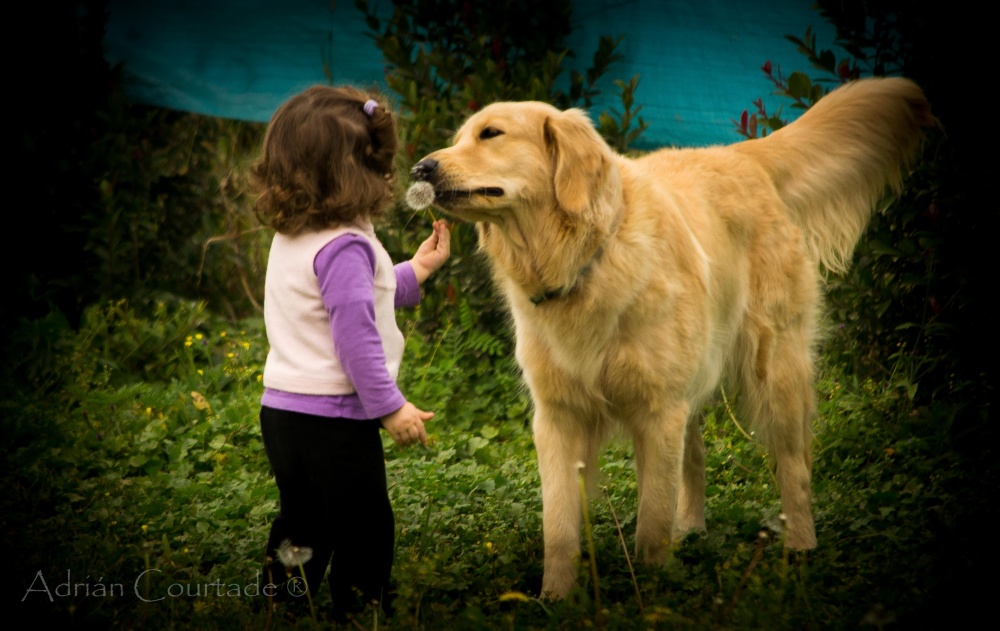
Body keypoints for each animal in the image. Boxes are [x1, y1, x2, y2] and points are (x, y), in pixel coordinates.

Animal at [408, 76, 936, 600]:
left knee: (794, 465)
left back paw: (801, 548)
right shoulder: (559, 417)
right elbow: (558, 526)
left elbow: (651, 520)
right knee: (696, 457)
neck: (583, 259)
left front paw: (652, 593)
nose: (420, 167)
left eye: (491, 134)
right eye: (460, 137)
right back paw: (693, 531)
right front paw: (554, 599)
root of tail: (741, 154)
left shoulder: (656, 409)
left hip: (774, 371)